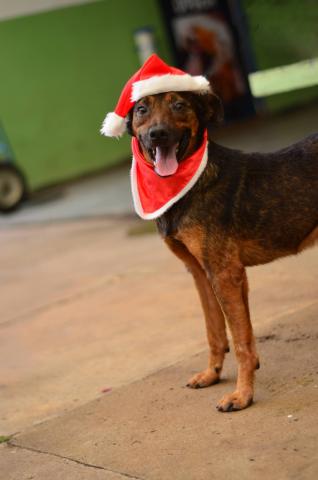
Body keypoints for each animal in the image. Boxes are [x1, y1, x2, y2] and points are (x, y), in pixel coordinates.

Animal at [126, 90, 318, 412]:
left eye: (179, 105)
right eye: (141, 109)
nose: (158, 134)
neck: (187, 182)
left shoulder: (225, 273)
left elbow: (240, 341)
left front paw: (242, 395)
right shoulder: (201, 274)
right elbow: (216, 331)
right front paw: (212, 374)